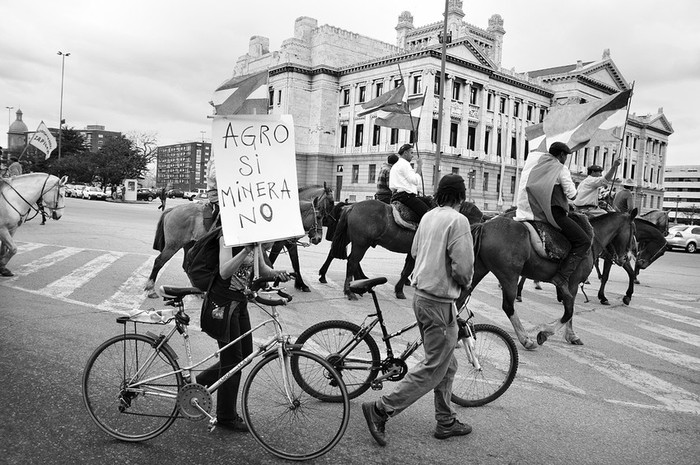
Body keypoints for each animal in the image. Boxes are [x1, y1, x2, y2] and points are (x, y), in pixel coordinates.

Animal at [144, 188, 332, 298]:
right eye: (319, 216)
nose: (318, 238)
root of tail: (171, 209)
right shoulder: (267, 246)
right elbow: (268, 262)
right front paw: (263, 284)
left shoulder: (277, 244)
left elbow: (284, 262)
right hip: (173, 245)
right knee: (159, 262)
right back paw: (150, 288)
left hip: (189, 244)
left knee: (186, 265)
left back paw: (198, 290)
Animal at [326, 198, 482, 300]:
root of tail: (351, 207)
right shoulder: (416, 252)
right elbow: (407, 270)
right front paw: (400, 290)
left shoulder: (411, 253)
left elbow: (406, 270)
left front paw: (400, 288)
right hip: (361, 244)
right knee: (352, 262)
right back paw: (349, 291)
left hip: (355, 242)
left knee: (348, 259)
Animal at [462, 209, 636, 348]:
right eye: (633, 232)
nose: (626, 258)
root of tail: (485, 226)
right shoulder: (571, 284)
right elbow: (569, 311)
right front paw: (546, 333)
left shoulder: (570, 285)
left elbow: (570, 310)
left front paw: (571, 335)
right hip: (509, 276)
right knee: (508, 306)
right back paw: (525, 339)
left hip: (479, 270)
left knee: (462, 297)